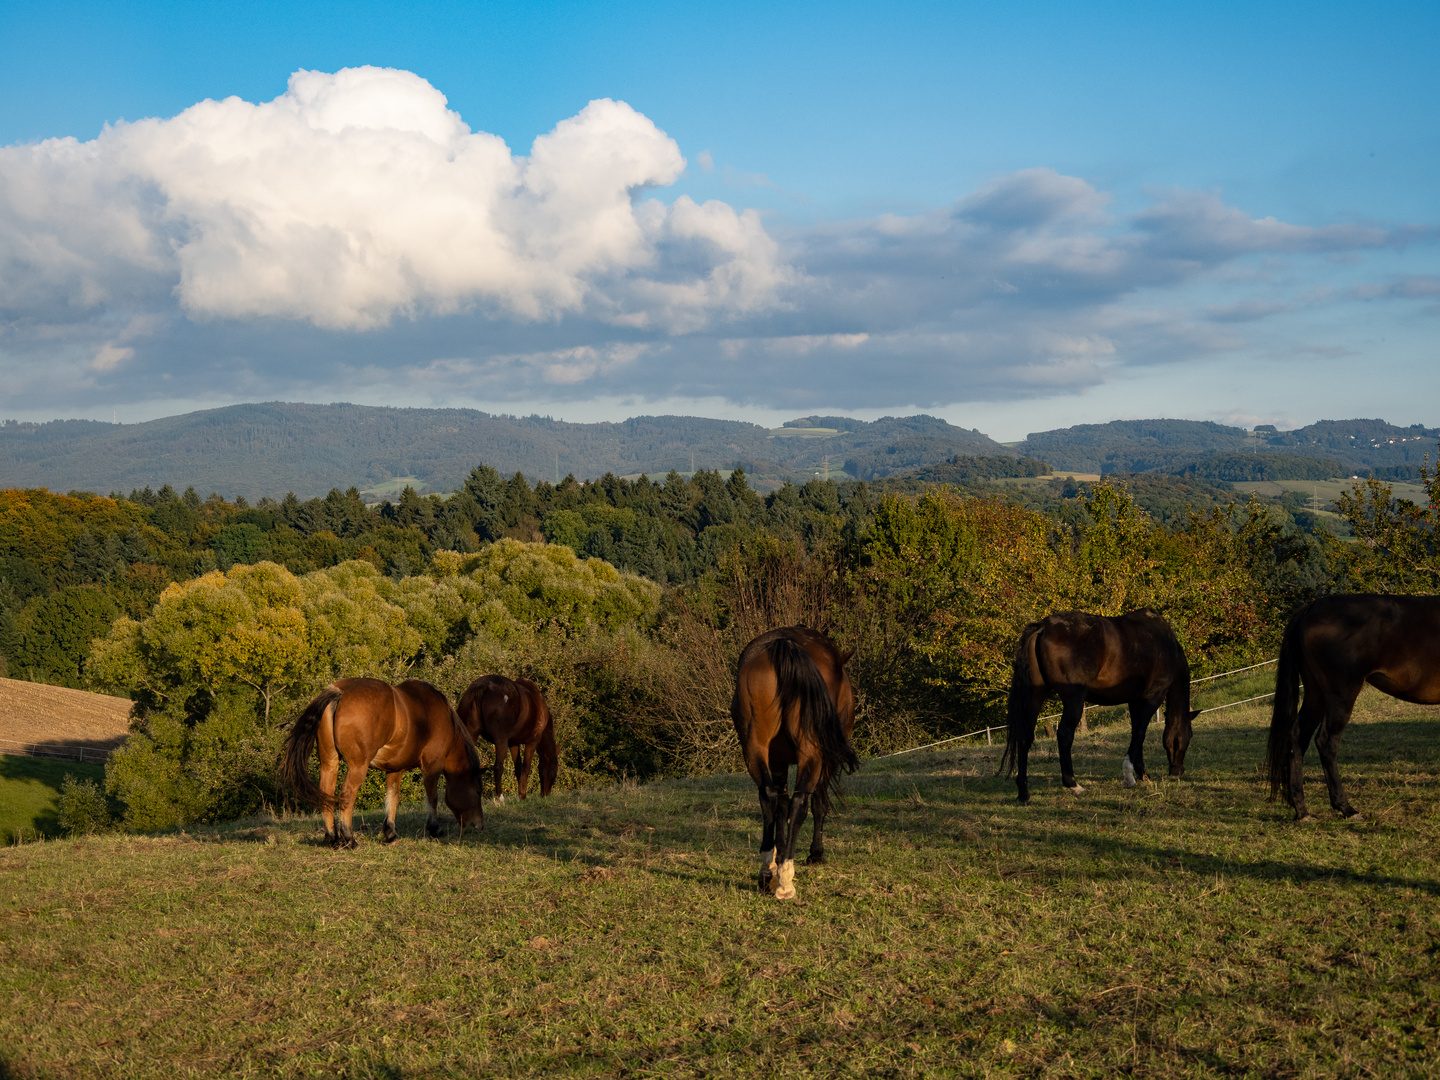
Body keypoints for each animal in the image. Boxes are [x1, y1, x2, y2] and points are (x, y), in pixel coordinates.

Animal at [277, 679, 486, 852]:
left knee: (326, 793)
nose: (478, 825)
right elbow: (432, 797)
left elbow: (392, 797)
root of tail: (339, 692)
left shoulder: (394, 769)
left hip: (329, 762)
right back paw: (349, 839)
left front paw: (390, 833)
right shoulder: (432, 766)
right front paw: (435, 829)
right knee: (347, 794)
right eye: (477, 791)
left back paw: (332, 838)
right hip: (357, 767)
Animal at [457, 676, 558, 806]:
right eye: (554, 772)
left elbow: (518, 768)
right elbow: (526, 768)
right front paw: (522, 795)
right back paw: (500, 798)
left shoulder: (514, 744)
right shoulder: (532, 742)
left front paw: (519, 797)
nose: (545, 795)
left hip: (471, 737)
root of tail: (482, 686)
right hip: (501, 741)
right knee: (498, 767)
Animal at [731, 624, 852, 904]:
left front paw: (776, 856)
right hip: (813, 753)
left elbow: (779, 806)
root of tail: (784, 644)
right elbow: (817, 803)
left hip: (755, 746)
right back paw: (786, 881)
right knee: (801, 802)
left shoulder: (776, 760)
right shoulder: (825, 759)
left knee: (768, 796)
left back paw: (767, 872)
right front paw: (815, 853)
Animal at [996, 610, 1198, 806]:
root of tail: (1043, 627)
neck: (1166, 645)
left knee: (1025, 738)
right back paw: (1073, 784)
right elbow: (1140, 733)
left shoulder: (1134, 701)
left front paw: (1142, 774)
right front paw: (1129, 776)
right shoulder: (1152, 696)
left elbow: (1136, 733)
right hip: (1074, 700)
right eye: (1189, 735)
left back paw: (1024, 793)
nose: (1177, 771)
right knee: (1064, 735)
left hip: (1035, 695)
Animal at [1267, 596, 1440, 823]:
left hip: (1315, 695)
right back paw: (1346, 808)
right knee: (1326, 742)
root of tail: (1312, 607)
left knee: (1297, 737)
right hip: (1341, 695)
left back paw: (1302, 811)